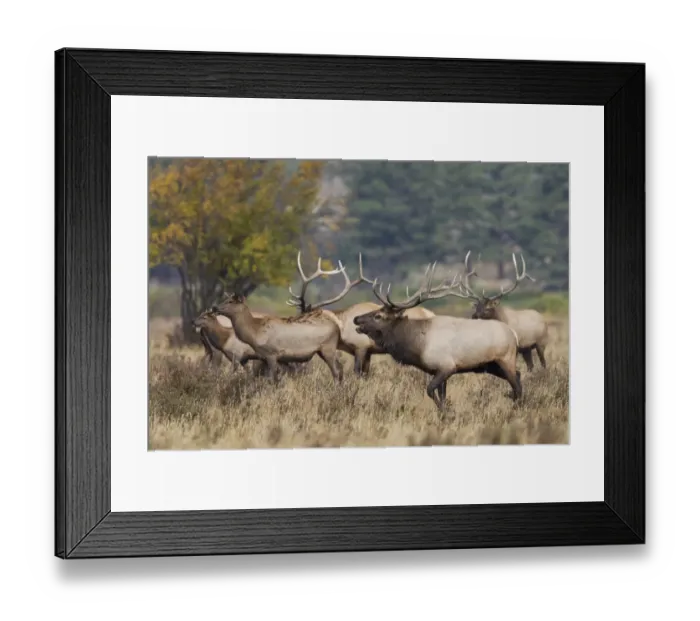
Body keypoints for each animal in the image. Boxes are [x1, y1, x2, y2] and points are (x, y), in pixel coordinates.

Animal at [211, 291, 344, 384]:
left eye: (230, 301)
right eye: (225, 299)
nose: (214, 307)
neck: (254, 333)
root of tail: (337, 327)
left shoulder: (271, 354)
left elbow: (271, 379)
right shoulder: (272, 358)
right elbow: (278, 378)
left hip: (328, 347)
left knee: (336, 371)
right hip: (323, 350)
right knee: (340, 368)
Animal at [286, 252, 435, 376]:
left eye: (305, 317)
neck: (342, 330)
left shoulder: (361, 346)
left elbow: (357, 372)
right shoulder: (368, 352)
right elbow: (365, 374)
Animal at [352, 253, 522, 410]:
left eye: (378, 316)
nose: (356, 318)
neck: (417, 346)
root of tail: (514, 334)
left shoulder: (447, 366)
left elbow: (430, 391)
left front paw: (445, 411)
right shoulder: (437, 370)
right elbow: (442, 394)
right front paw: (444, 412)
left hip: (505, 358)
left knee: (516, 383)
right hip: (491, 365)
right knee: (519, 376)